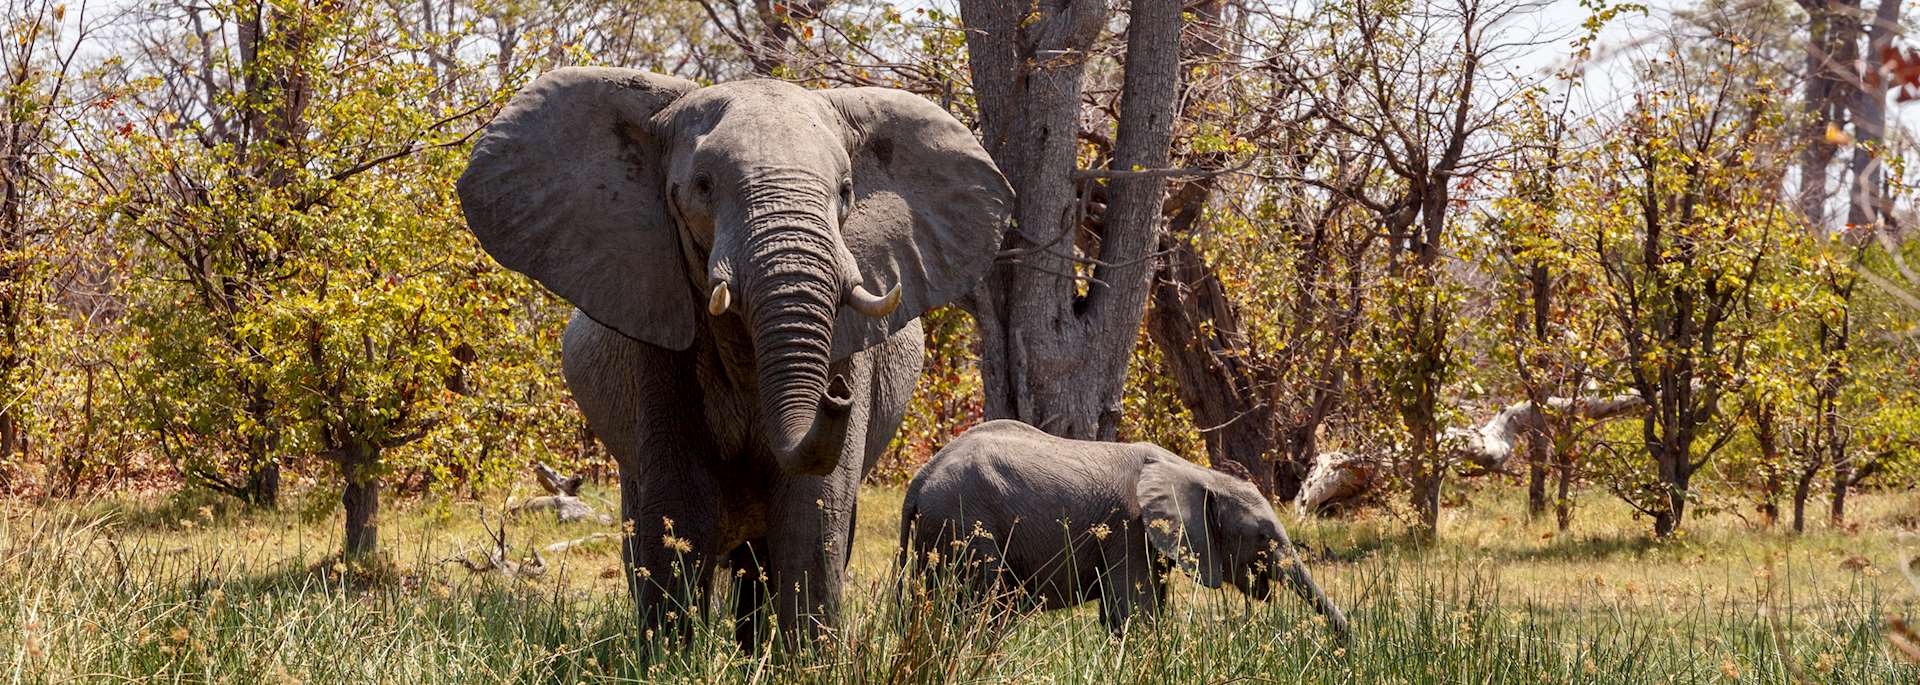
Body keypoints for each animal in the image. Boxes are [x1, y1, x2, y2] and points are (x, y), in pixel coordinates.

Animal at [456, 67, 1012, 647]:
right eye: (703, 186)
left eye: (845, 191)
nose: (836, 396)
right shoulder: (656, 333)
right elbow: (680, 505)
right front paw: (671, 659)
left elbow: (813, 511)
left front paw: (804, 660)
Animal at [899, 420, 1350, 637]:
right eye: (1261, 537)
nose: (1349, 643)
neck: (1196, 473)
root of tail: (920, 478)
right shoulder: (1128, 531)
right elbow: (1136, 613)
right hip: (966, 524)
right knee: (978, 609)